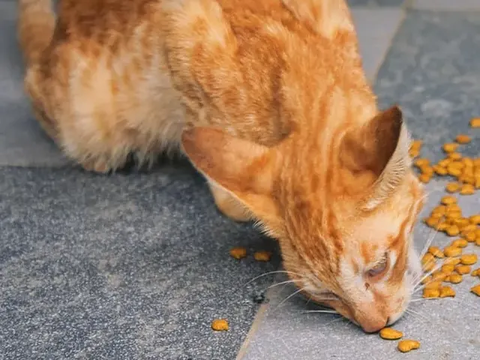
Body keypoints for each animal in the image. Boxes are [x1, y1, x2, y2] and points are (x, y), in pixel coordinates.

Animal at [17, 0, 424, 332]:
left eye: (378, 267)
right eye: (326, 294)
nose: (374, 326)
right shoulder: (179, 38)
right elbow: (227, 192)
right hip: (87, 119)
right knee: (33, 80)